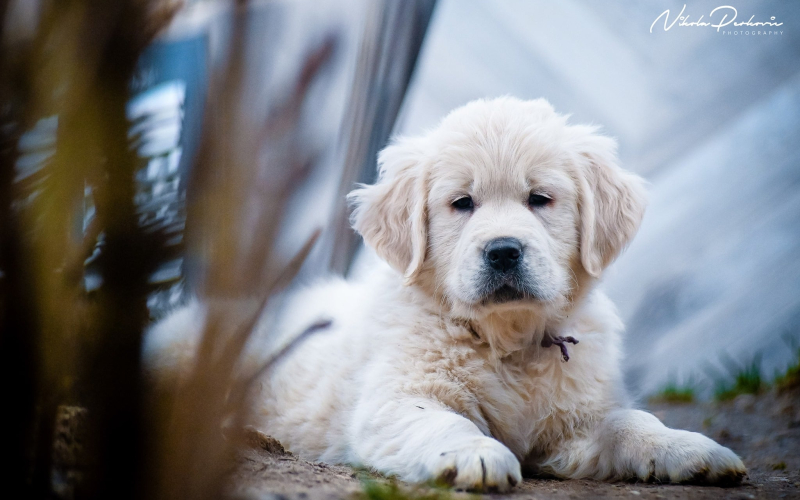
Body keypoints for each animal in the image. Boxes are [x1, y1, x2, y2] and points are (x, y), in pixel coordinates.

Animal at [147, 95, 748, 490]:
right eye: (462, 203)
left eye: (540, 199)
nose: (503, 251)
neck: (508, 340)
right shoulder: (395, 398)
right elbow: (441, 419)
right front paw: (476, 455)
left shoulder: (575, 418)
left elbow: (630, 420)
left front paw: (688, 447)